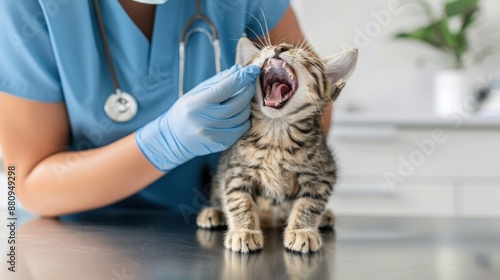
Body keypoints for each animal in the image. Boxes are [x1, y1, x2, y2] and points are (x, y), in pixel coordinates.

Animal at [197, 36, 358, 254]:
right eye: (269, 48)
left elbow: (309, 203)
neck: (276, 134)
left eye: (308, 59)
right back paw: (214, 212)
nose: (279, 48)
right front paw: (245, 231)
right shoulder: (235, 172)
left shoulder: (322, 175)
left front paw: (302, 231)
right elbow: (238, 200)